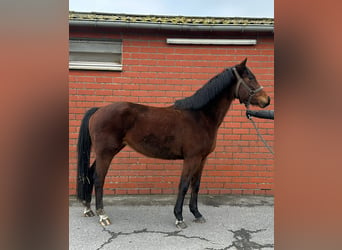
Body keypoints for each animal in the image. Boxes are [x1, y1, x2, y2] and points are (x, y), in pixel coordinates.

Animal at [76, 58, 272, 229]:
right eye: (250, 78)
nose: (267, 100)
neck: (201, 116)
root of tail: (98, 110)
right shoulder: (191, 158)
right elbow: (184, 185)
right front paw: (179, 217)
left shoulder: (202, 159)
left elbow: (196, 185)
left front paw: (197, 214)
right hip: (106, 152)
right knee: (99, 177)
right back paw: (103, 215)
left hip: (108, 151)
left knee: (90, 173)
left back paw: (88, 208)